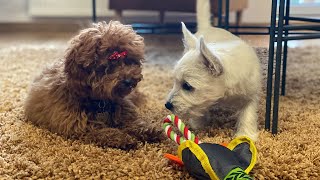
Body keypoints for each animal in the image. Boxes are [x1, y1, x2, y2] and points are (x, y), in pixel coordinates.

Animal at [166, 0, 262, 141]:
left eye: (187, 86)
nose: (167, 105)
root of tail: (208, 27)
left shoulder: (250, 94)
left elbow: (247, 114)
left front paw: (245, 135)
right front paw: (198, 123)